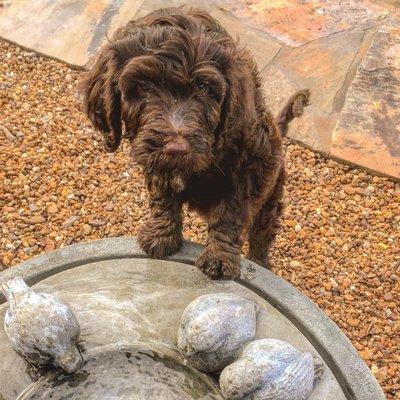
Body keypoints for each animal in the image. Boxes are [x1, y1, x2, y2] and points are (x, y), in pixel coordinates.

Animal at [79, 7, 310, 282]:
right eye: (143, 86)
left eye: (203, 86)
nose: (177, 148)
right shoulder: (158, 162)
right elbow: (163, 198)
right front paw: (161, 235)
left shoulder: (251, 167)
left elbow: (231, 210)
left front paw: (219, 257)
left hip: (271, 195)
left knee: (262, 233)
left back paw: (260, 262)